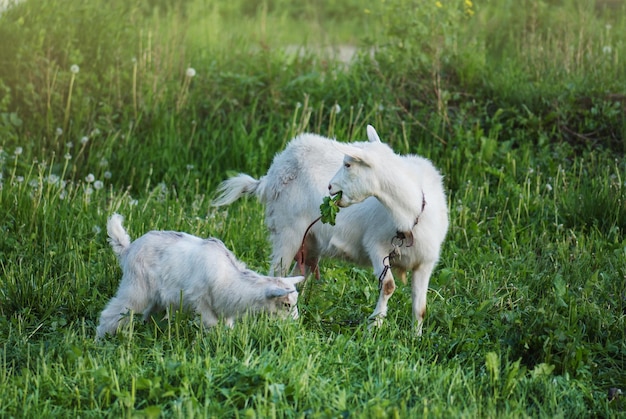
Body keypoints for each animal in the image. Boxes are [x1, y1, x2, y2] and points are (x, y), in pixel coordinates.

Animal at [94, 215, 304, 340]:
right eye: (286, 304)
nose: (295, 323)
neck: (229, 278)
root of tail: (128, 249)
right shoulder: (200, 301)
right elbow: (212, 325)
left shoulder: (223, 307)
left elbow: (227, 326)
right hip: (136, 288)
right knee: (112, 313)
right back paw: (100, 340)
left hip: (156, 298)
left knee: (147, 315)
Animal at [212, 124, 446, 334]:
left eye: (348, 165)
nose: (330, 186)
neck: (412, 213)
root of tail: (272, 174)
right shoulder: (377, 246)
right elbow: (388, 285)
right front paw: (374, 327)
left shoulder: (425, 262)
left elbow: (420, 307)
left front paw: (416, 338)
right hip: (287, 231)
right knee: (277, 273)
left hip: (310, 243)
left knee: (298, 276)